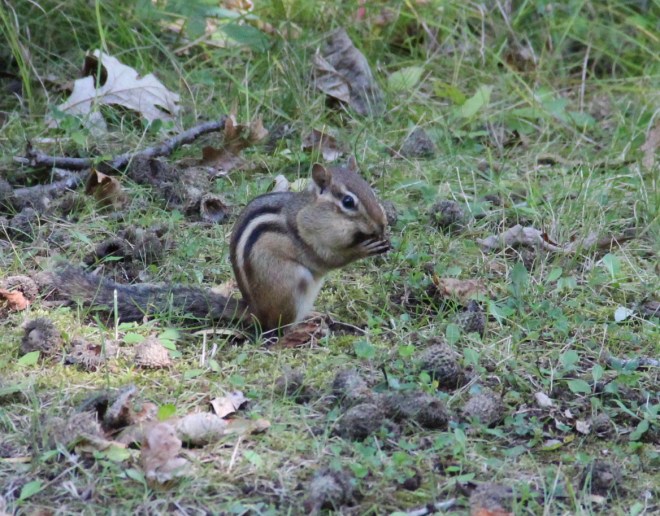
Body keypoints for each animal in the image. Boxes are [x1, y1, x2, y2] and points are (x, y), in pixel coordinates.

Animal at [55, 157, 390, 330]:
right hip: (292, 286)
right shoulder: (307, 238)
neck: (307, 211)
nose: (382, 224)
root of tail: (254, 310)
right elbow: (328, 259)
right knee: (278, 328)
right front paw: (366, 247)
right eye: (348, 202)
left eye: (371, 190)